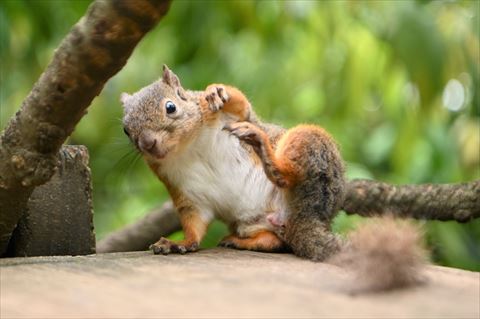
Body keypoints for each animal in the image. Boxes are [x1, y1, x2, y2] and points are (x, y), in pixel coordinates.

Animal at [122, 65, 426, 292]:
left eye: (170, 107)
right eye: (126, 130)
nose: (147, 144)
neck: (186, 147)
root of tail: (303, 218)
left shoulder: (227, 116)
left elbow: (240, 105)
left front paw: (215, 91)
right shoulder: (186, 193)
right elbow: (194, 223)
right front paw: (179, 243)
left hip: (307, 143)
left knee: (285, 174)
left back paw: (264, 149)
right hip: (251, 223)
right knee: (276, 242)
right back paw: (240, 241)